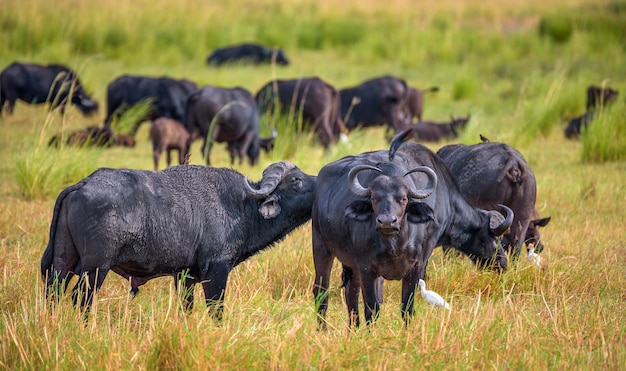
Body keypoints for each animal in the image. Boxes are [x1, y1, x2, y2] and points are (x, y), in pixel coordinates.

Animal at [40, 161, 316, 318]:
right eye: (296, 180)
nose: (320, 178)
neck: (241, 206)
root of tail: (84, 183)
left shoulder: (185, 276)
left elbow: (187, 308)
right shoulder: (217, 269)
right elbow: (216, 309)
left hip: (63, 263)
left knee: (53, 292)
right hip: (96, 268)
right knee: (80, 298)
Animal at [312, 131, 512, 328]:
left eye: (403, 198)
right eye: (374, 198)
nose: (502, 262)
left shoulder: (415, 266)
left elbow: (406, 308)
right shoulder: (367, 268)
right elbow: (373, 307)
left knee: (350, 292)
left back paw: (353, 328)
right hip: (321, 247)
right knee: (321, 291)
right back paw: (323, 328)